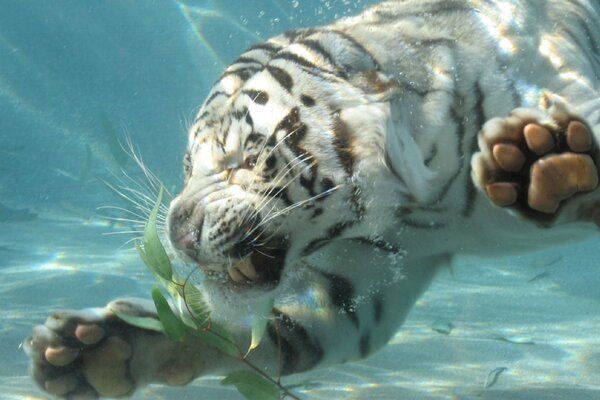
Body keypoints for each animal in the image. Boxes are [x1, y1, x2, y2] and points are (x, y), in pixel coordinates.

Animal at [23, 0, 600, 396]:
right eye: (188, 166)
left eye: (243, 157)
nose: (179, 233)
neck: (425, 202)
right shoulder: (362, 283)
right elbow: (259, 334)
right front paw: (99, 350)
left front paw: (540, 160)